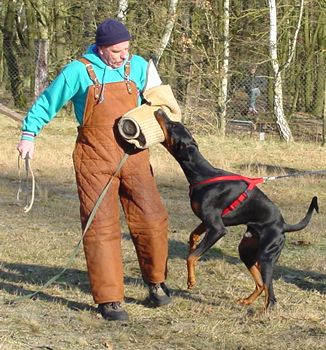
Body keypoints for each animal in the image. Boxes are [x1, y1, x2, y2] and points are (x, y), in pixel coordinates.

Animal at [155, 109, 318, 308]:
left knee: (270, 294)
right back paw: (247, 301)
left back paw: (262, 310)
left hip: (267, 256)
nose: (159, 110)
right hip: (246, 251)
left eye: (172, 125)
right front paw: (191, 249)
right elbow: (193, 237)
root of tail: (283, 225)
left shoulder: (217, 228)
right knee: (261, 284)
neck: (202, 174)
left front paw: (191, 281)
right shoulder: (207, 221)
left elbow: (192, 257)